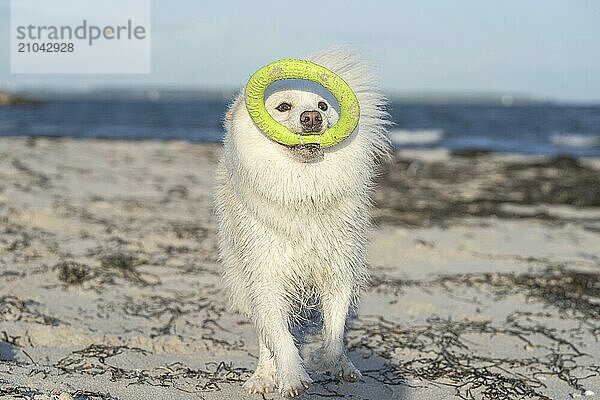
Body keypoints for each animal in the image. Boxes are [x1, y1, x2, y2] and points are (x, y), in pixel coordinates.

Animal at [214, 50, 390, 396]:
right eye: (283, 107)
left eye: (322, 106)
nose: (312, 118)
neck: (304, 190)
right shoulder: (266, 276)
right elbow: (279, 337)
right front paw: (293, 377)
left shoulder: (339, 270)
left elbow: (335, 328)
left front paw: (328, 361)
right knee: (265, 336)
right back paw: (263, 377)